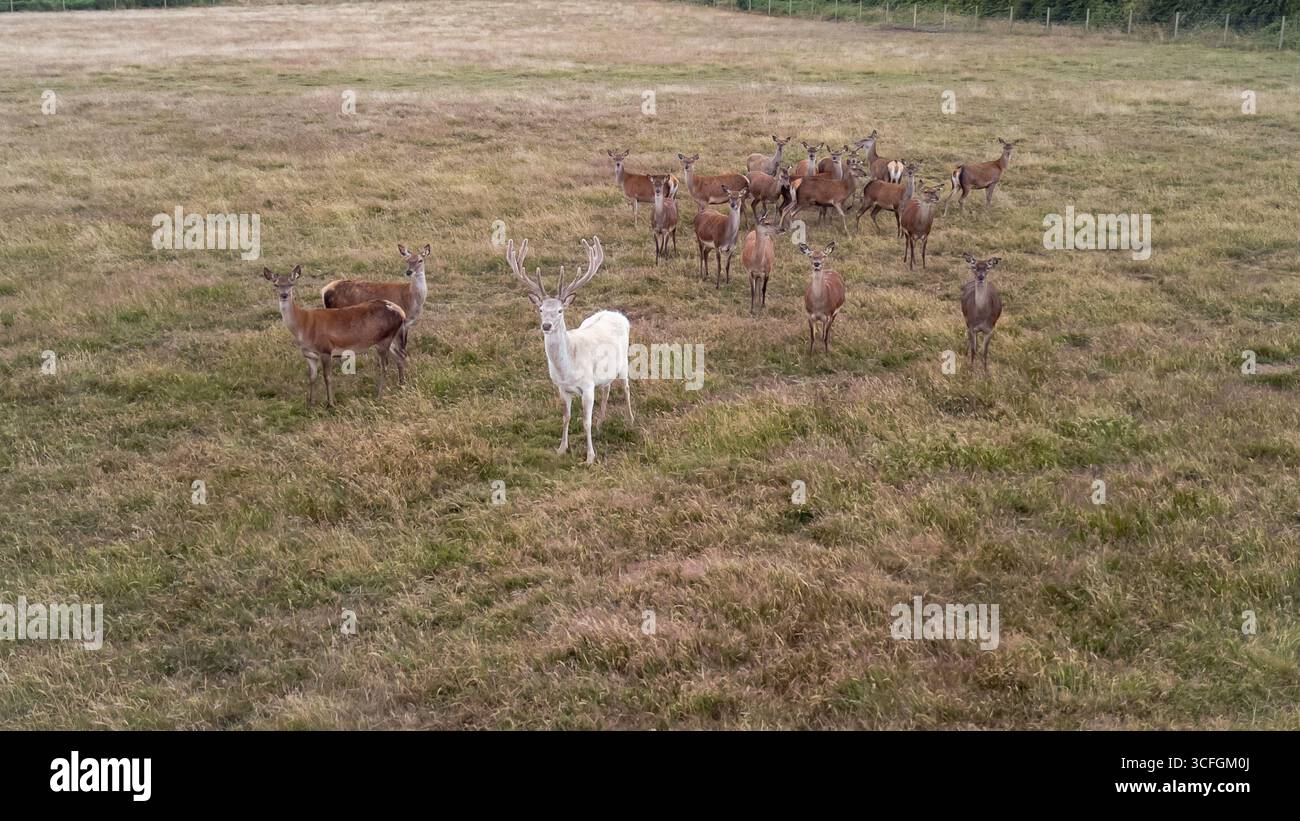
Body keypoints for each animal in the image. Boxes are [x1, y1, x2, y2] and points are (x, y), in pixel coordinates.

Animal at [263, 265, 406, 408]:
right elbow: (312, 377)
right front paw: (311, 403)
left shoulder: (325, 349)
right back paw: (401, 384)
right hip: (389, 338)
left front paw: (330, 404)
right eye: (275, 284)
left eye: (291, 283)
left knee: (385, 366)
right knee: (400, 356)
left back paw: (379, 395)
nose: (284, 295)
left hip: (384, 338)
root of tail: (401, 312)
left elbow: (327, 377)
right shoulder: (309, 354)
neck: (303, 325)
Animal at [505, 236, 632, 465]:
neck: (568, 368)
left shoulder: (588, 387)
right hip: (604, 373)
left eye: (560, 310)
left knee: (626, 388)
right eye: (540, 309)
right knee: (607, 388)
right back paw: (601, 423)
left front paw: (590, 457)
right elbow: (566, 417)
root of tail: (618, 314)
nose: (546, 325)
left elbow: (585, 422)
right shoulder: (562, 388)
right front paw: (562, 448)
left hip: (624, 361)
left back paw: (630, 420)